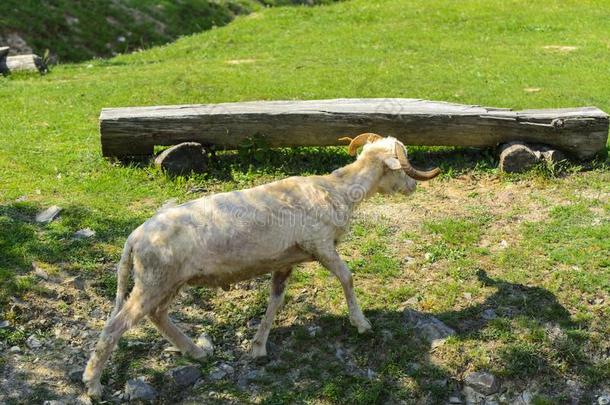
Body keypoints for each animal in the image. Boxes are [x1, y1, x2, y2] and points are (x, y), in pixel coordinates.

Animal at [83, 132, 440, 394]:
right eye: (403, 163)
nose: (413, 186)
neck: (337, 189)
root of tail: (135, 237)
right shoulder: (321, 245)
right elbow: (347, 278)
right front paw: (361, 323)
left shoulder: (286, 259)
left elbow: (275, 301)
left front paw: (258, 346)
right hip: (154, 279)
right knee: (117, 326)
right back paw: (93, 383)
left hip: (168, 281)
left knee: (157, 316)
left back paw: (196, 351)